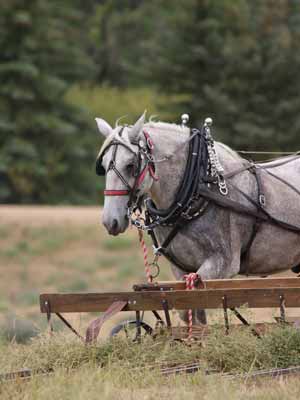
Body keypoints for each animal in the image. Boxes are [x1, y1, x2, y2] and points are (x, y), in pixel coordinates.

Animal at [95, 113, 300, 324]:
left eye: (131, 165)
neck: (201, 187)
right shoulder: (181, 269)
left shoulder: (222, 264)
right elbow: (190, 313)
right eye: (102, 166)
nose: (110, 221)